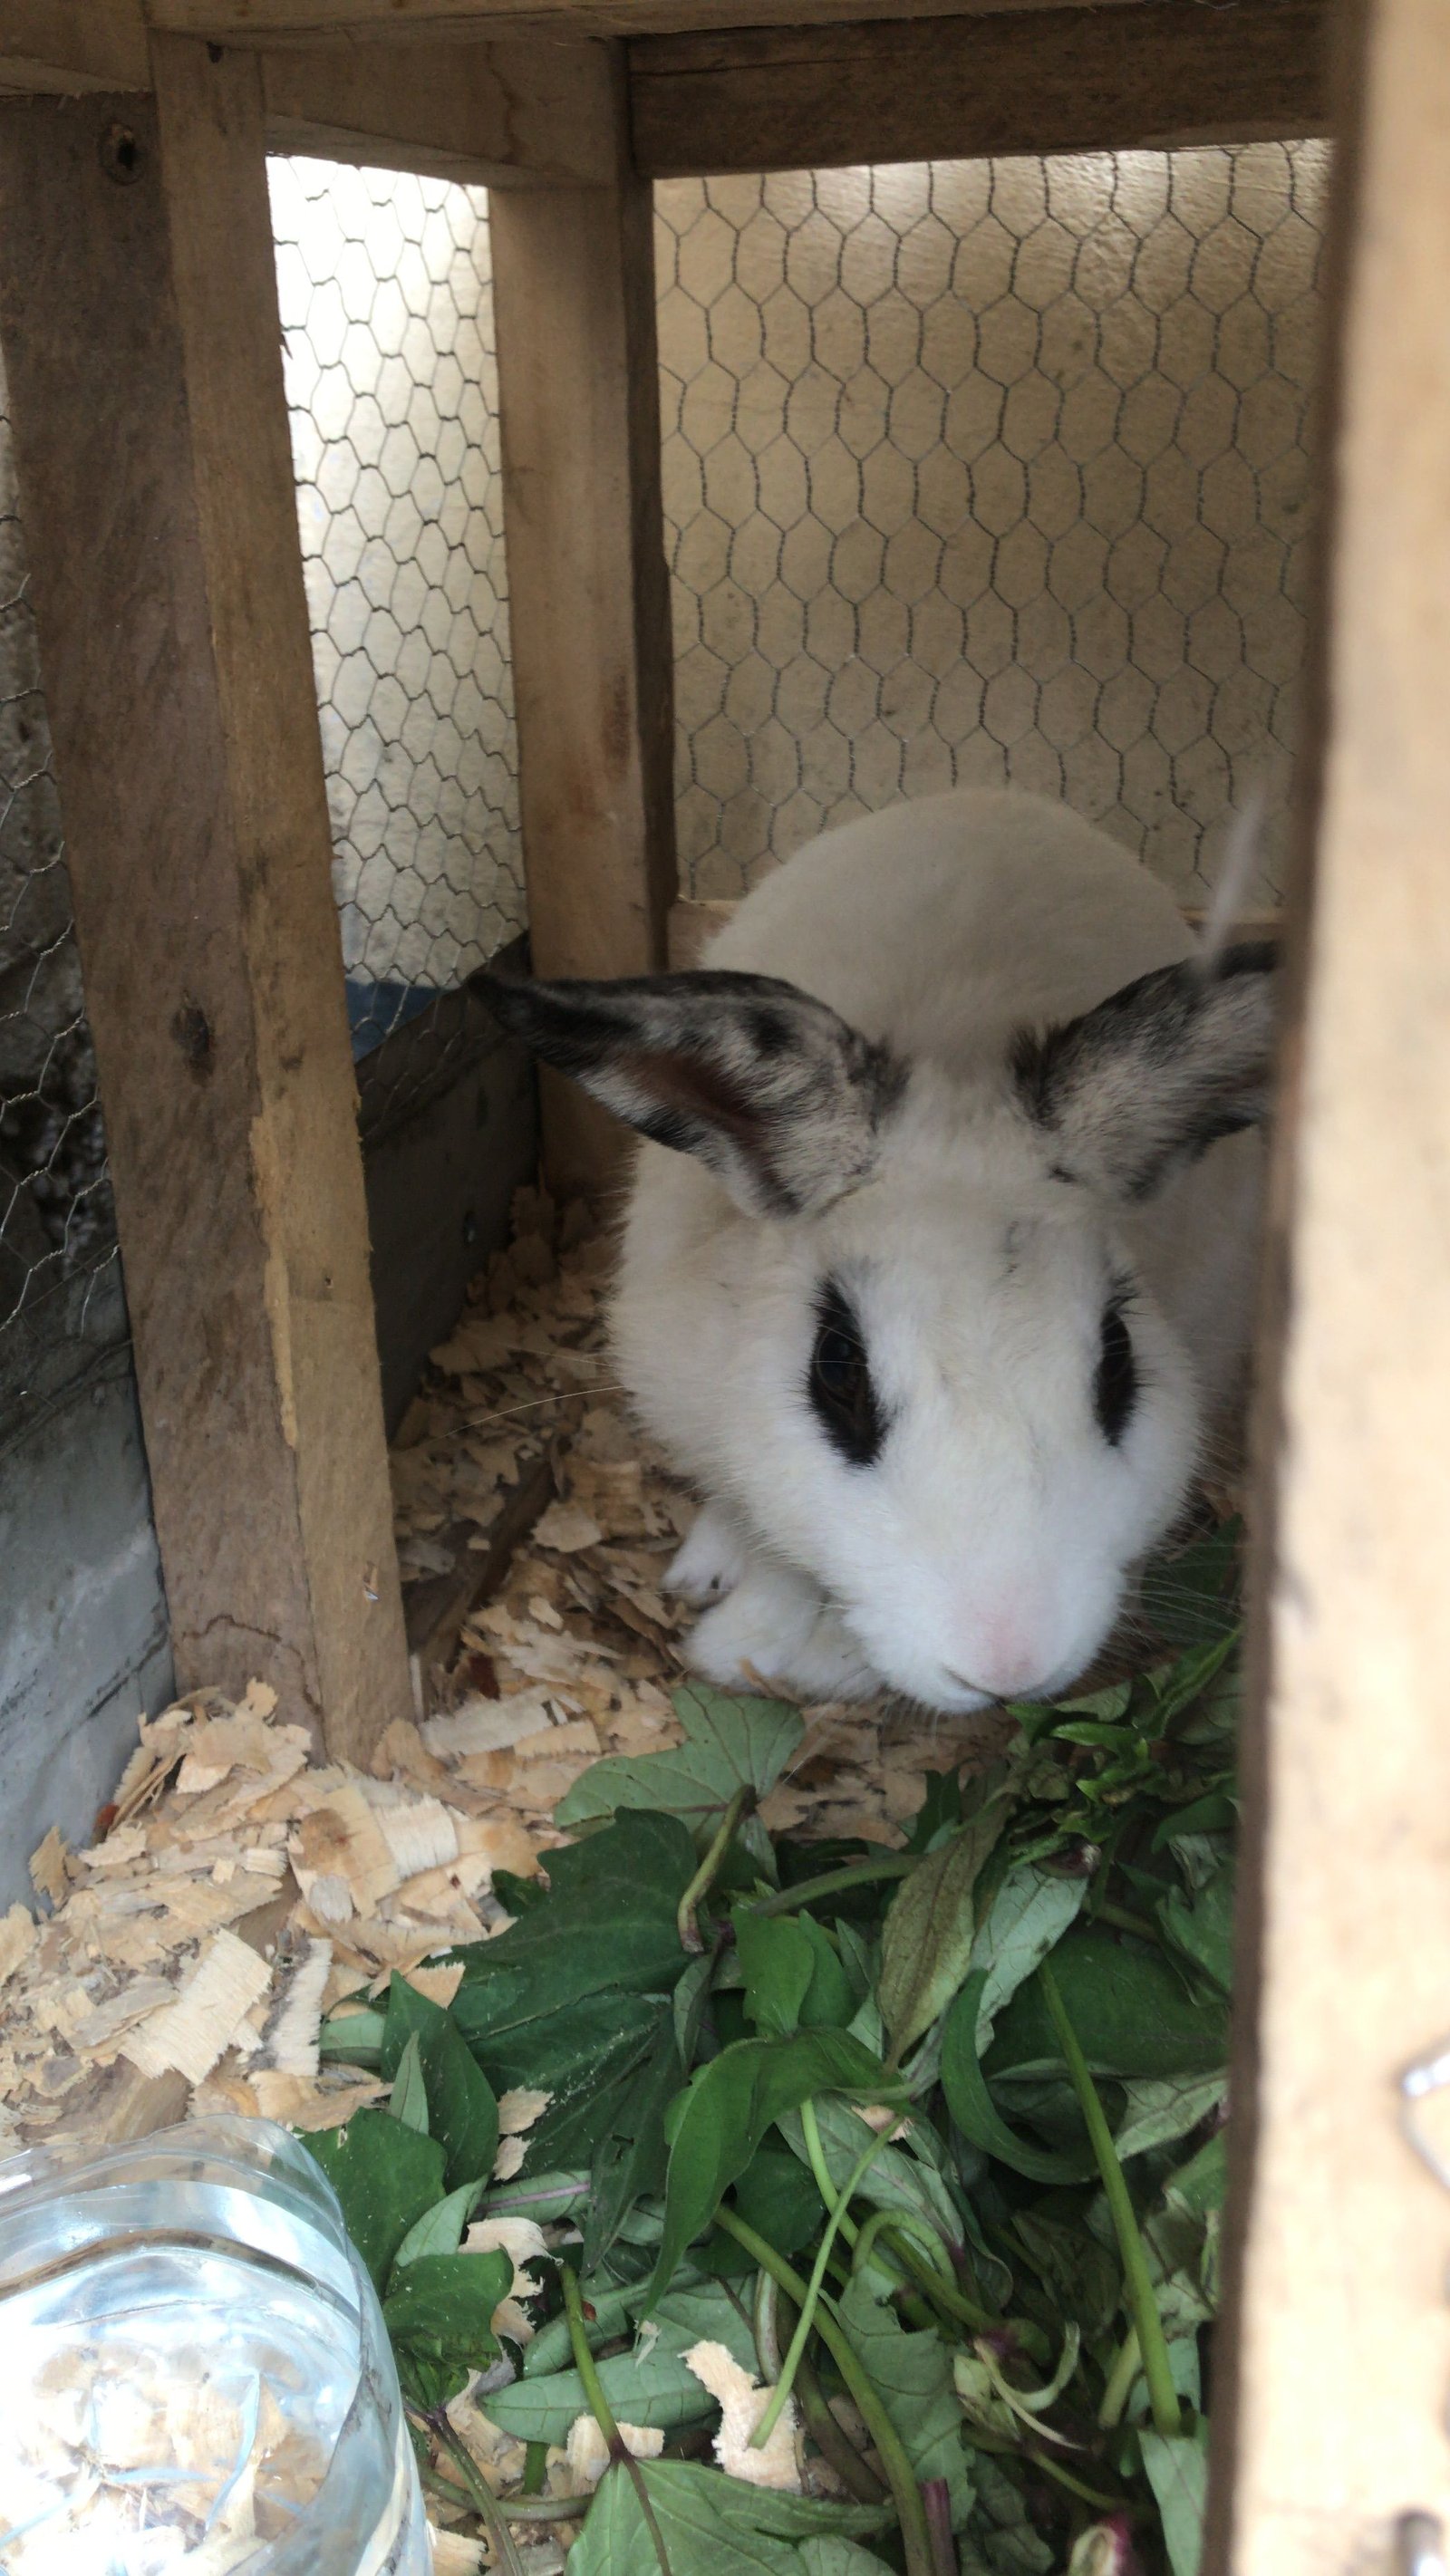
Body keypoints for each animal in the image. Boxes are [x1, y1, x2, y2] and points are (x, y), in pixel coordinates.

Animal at [482, 787, 1274, 1714]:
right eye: (836, 1368)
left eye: (1119, 1360)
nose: (1008, 1666)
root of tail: (994, 796)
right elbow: (781, 1549)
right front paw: (735, 1639)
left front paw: (806, 1658)